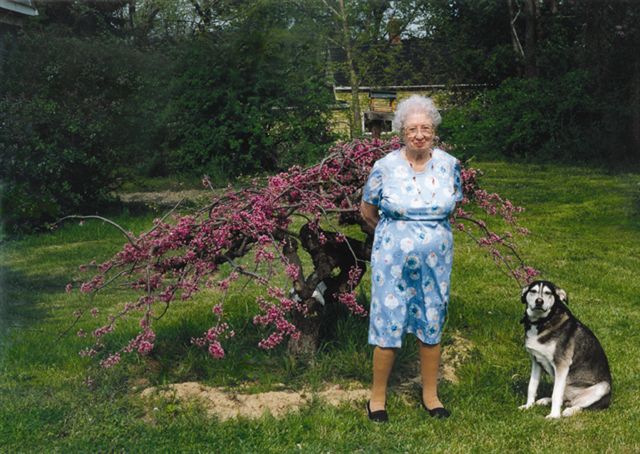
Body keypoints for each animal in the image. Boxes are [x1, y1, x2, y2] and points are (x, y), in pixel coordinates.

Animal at [516, 280, 612, 418]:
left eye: (548, 293)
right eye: (533, 291)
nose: (539, 301)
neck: (541, 322)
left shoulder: (562, 364)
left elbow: (556, 394)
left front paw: (554, 416)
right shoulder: (536, 361)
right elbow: (532, 387)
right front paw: (528, 406)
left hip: (603, 387)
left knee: (579, 405)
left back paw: (569, 411)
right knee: (564, 399)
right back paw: (545, 400)